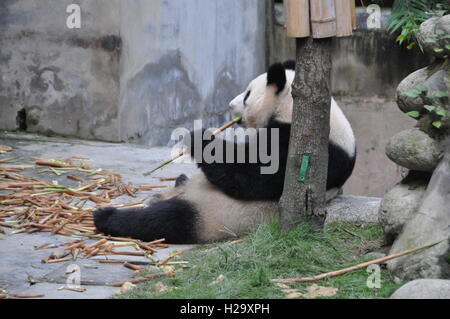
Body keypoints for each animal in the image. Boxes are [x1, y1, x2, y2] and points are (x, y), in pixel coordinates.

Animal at [93, 60, 356, 245]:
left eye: (248, 94)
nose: (230, 105)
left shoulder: (310, 148)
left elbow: (253, 175)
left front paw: (199, 139)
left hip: (211, 215)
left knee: (165, 220)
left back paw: (107, 216)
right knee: (177, 191)